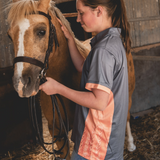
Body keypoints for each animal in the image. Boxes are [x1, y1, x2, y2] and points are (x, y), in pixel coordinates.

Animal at [6, 0, 136, 159]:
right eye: (10, 35)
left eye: (41, 31)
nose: (21, 84)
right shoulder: (58, 132)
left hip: (128, 95)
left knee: (127, 116)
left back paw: (130, 144)